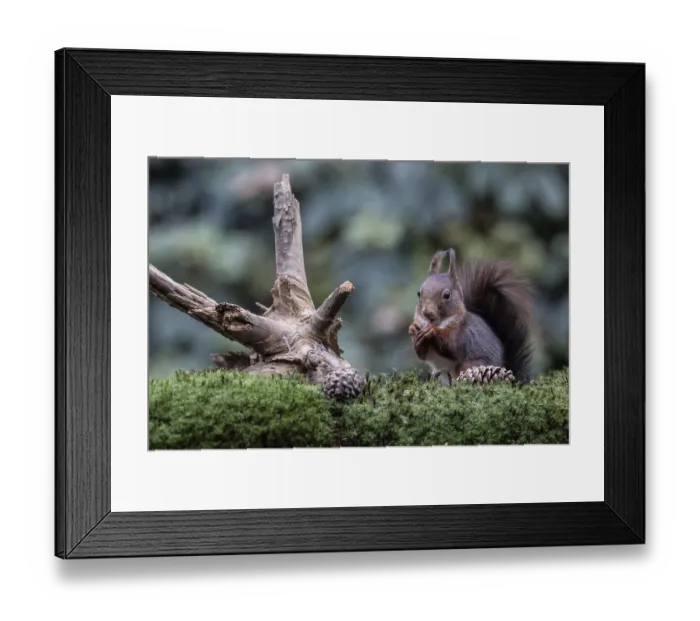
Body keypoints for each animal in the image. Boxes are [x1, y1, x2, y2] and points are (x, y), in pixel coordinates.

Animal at [408, 248, 534, 385]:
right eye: (419, 293)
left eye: (447, 295)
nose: (427, 313)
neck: (440, 322)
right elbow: (422, 354)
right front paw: (413, 329)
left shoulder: (462, 333)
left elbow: (451, 345)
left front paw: (432, 331)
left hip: (470, 364)